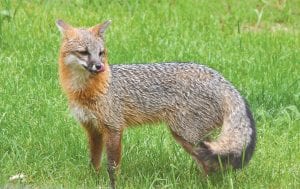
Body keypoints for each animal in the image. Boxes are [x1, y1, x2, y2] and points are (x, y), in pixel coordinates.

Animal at [55, 19, 255, 188]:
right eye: (84, 52)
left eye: (101, 53)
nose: (99, 66)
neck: (87, 91)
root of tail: (220, 78)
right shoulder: (93, 129)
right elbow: (94, 162)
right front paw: (94, 181)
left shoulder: (114, 128)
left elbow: (112, 166)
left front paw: (113, 184)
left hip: (187, 136)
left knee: (213, 163)